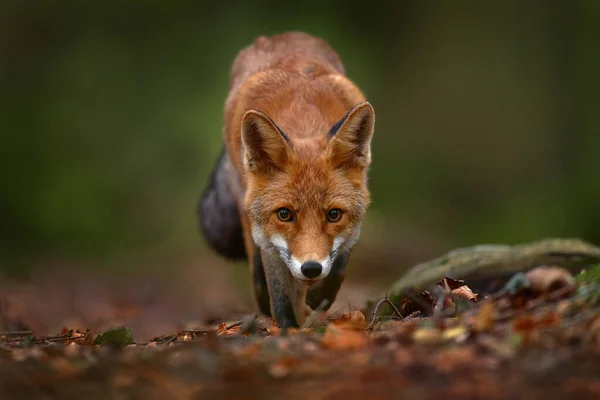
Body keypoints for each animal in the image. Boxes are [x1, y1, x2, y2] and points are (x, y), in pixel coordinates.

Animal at [198, 32, 376, 328]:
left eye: (334, 214)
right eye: (284, 214)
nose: (312, 268)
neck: (304, 121)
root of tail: (278, 36)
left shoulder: (353, 225)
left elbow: (337, 270)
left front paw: (318, 299)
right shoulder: (268, 237)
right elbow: (279, 292)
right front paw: (287, 328)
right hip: (244, 203)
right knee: (259, 276)